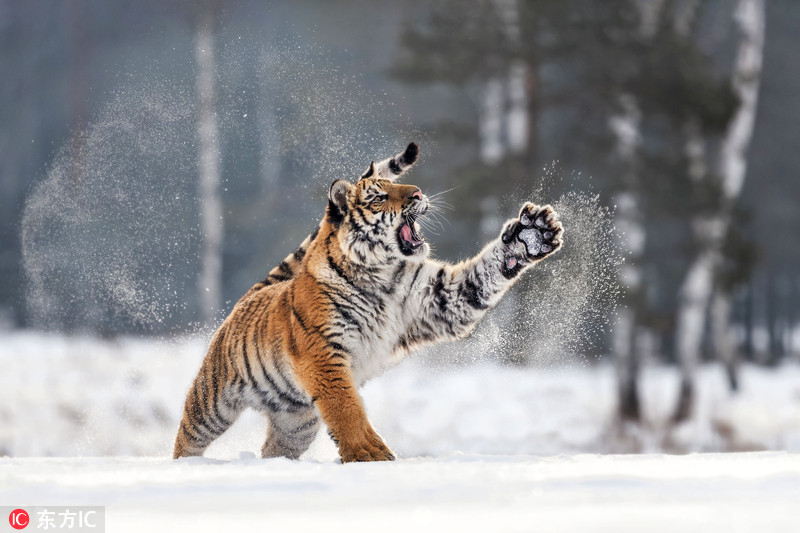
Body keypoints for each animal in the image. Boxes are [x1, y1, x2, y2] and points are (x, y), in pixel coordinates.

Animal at [173, 141, 564, 462]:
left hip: (296, 422)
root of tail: (253, 291)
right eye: (378, 196)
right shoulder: (323, 351)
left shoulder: (441, 301)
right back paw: (185, 466)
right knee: (187, 438)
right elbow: (347, 409)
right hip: (211, 403)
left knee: (274, 448)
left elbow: (484, 274)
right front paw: (370, 456)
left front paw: (531, 235)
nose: (418, 192)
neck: (382, 275)